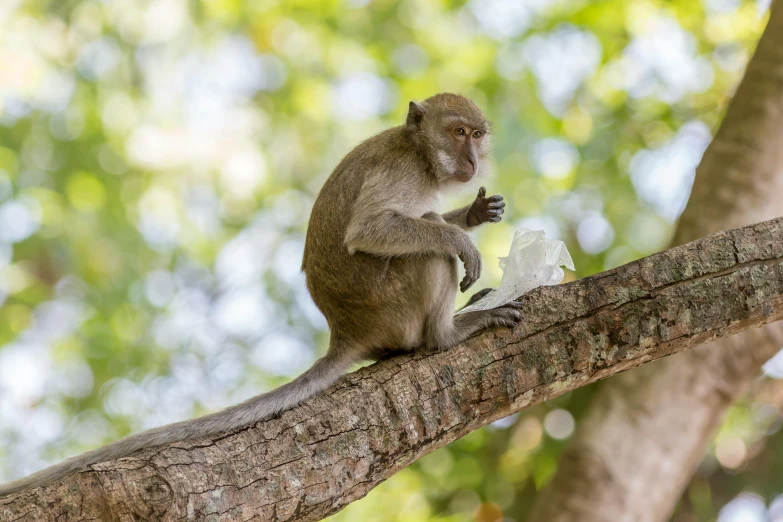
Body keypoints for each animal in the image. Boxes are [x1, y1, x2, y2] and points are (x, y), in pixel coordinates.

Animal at [0, 91, 520, 494]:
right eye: (458, 132)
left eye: (478, 134)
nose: (472, 160)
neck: (420, 154)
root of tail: (346, 330)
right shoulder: (400, 173)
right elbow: (372, 231)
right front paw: (460, 240)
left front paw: (473, 215)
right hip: (392, 304)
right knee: (428, 249)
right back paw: (446, 335)